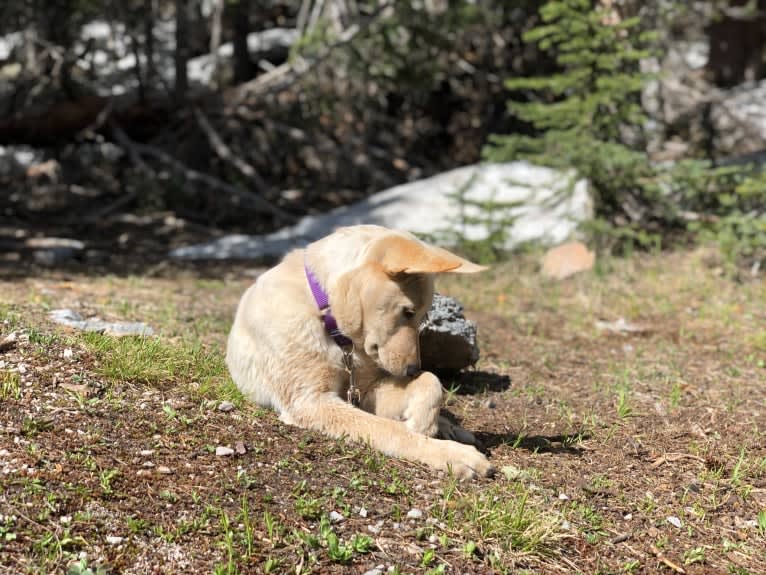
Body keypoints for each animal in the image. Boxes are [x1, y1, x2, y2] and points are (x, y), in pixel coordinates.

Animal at [225, 226, 496, 482]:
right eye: (408, 312)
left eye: (423, 316)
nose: (412, 370)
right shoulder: (310, 401)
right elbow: (390, 429)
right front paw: (451, 454)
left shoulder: (365, 390)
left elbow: (431, 380)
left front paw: (424, 421)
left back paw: (450, 427)